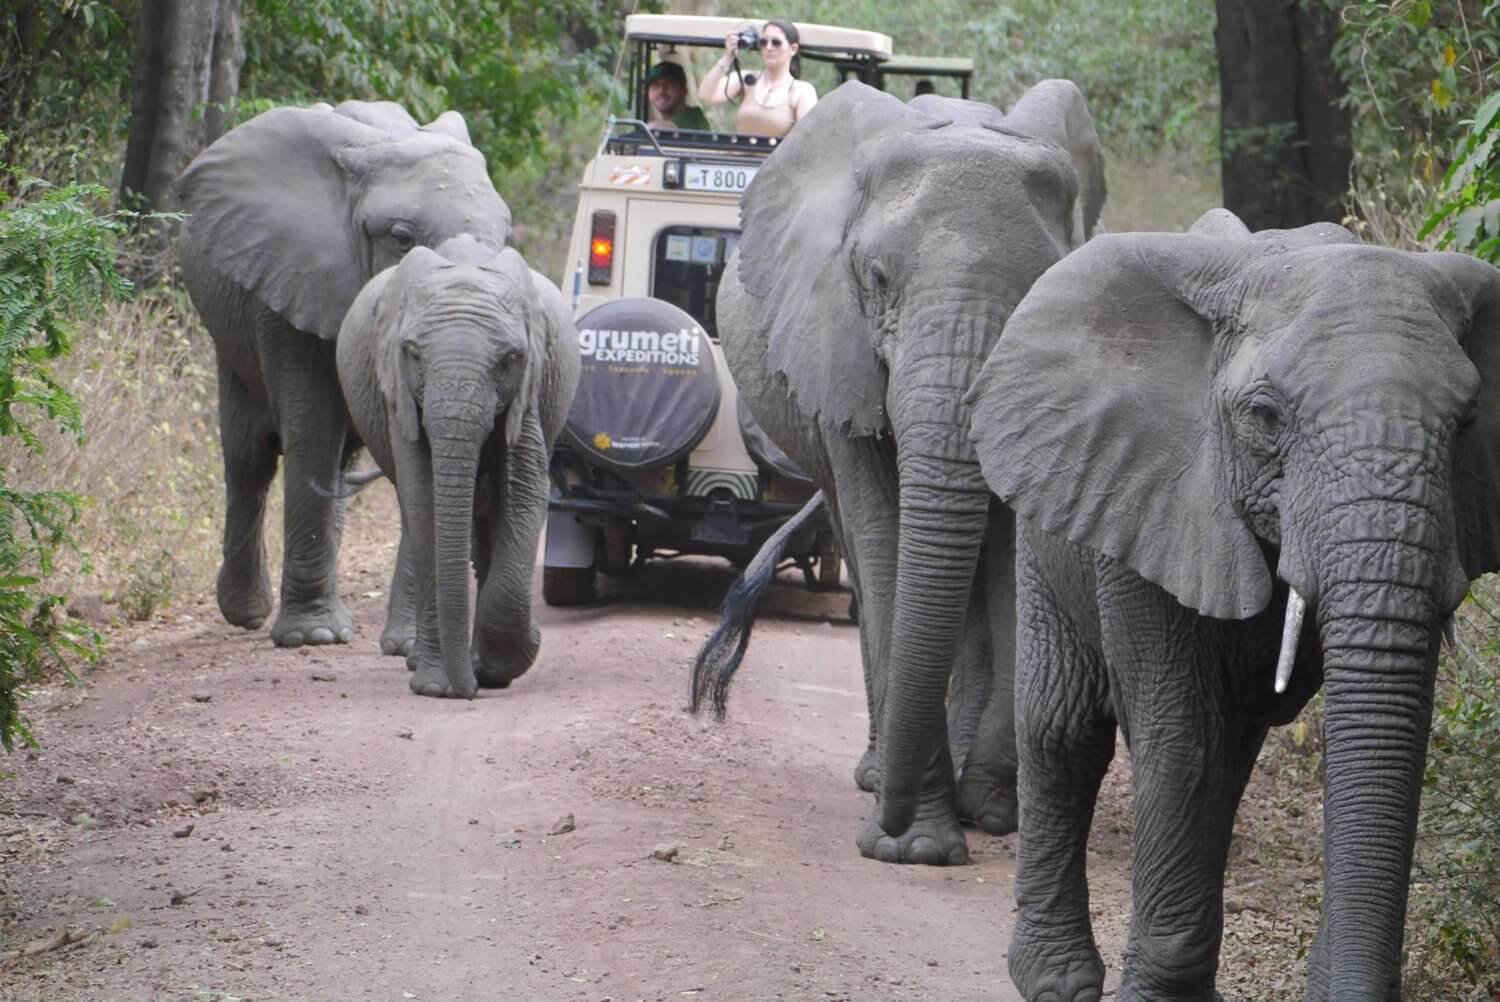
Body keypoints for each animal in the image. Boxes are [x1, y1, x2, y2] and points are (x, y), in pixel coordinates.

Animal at [177, 99, 510, 651]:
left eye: (507, 239)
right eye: (401, 239)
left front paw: (409, 646)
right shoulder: (291, 284)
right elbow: (311, 429)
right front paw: (312, 637)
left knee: (333, 464)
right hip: (230, 328)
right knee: (250, 458)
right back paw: (249, 613)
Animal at [339, 238, 579, 702]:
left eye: (510, 359)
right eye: (413, 353)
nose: (467, 691)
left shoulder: (528, 389)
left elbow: (524, 490)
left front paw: (504, 663)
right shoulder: (398, 397)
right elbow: (424, 497)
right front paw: (437, 688)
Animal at [699, 78, 1104, 864]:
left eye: (1037, 291)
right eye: (878, 280)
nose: (883, 825)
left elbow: (1006, 561)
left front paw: (991, 810)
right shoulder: (835, 338)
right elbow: (886, 545)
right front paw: (915, 847)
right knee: (865, 554)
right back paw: (874, 772)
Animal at [966, 207, 1500, 996]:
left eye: (1466, 423)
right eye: (1265, 416)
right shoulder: (1148, 494)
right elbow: (1180, 735)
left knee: (1233, 747)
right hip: (1050, 513)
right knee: (1067, 730)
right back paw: (1057, 982)